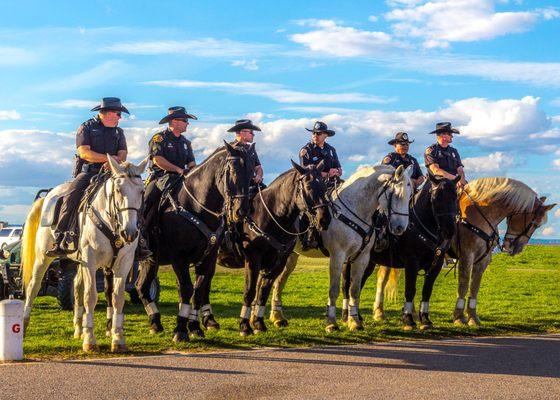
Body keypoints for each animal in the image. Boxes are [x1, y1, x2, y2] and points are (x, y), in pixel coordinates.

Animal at [136, 141, 254, 340]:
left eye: (252, 173)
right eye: (233, 170)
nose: (241, 211)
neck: (197, 206)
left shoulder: (209, 258)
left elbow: (198, 291)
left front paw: (194, 326)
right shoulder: (179, 258)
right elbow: (186, 289)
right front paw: (181, 330)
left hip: (151, 260)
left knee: (141, 287)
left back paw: (155, 322)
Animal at [234, 161, 330, 336]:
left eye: (325, 186)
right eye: (308, 186)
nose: (325, 219)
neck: (273, 216)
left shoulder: (279, 261)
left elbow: (263, 291)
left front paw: (258, 324)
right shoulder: (253, 259)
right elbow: (250, 290)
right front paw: (244, 326)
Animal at [270, 164, 414, 332]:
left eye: (410, 195)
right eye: (397, 194)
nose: (400, 228)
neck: (353, 210)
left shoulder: (362, 259)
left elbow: (354, 290)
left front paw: (354, 321)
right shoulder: (337, 257)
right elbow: (334, 290)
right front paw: (331, 322)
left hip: (291, 256)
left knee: (279, 281)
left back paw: (277, 317)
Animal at [342, 173, 460, 330]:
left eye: (455, 196)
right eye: (436, 197)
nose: (450, 231)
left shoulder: (436, 265)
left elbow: (426, 291)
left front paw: (425, 320)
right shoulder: (411, 262)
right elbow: (410, 290)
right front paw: (408, 319)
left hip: (367, 263)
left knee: (358, 284)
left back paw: (357, 317)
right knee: (346, 285)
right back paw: (346, 316)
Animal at [372, 177, 556, 326]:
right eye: (534, 224)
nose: (515, 248)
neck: (481, 214)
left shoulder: (482, 261)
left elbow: (474, 287)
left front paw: (473, 317)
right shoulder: (467, 256)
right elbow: (464, 284)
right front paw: (459, 317)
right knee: (382, 279)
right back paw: (379, 312)